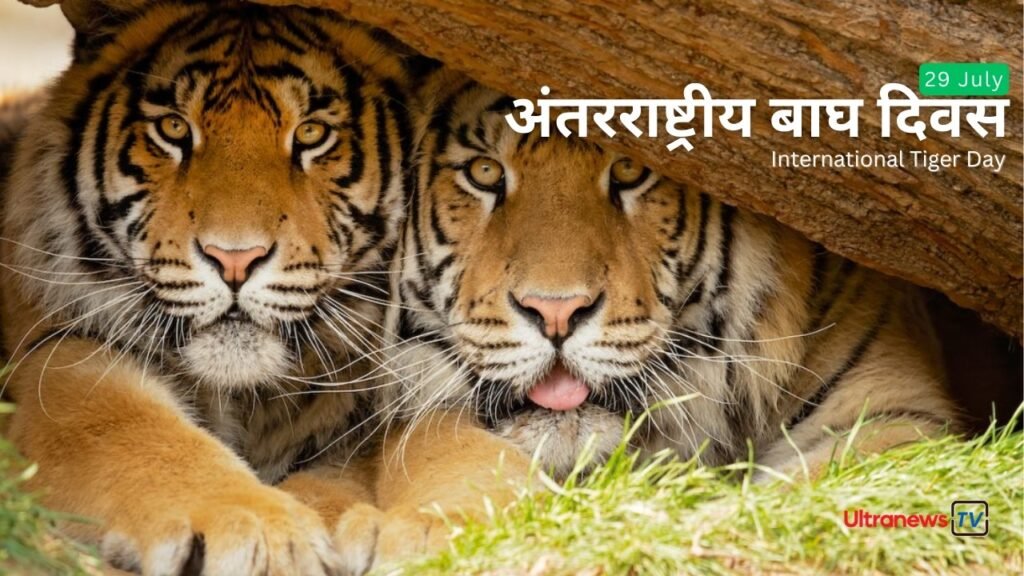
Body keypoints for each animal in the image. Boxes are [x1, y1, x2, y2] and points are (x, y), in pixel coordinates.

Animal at [0, 1, 423, 573]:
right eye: (174, 128)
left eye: (312, 134)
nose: (235, 259)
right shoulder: (58, 354)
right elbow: (131, 430)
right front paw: (262, 532)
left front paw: (354, 523)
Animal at [334, 70, 963, 565]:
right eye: (485, 173)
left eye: (631, 171)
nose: (556, 311)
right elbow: (447, 451)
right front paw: (421, 534)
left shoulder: (892, 416)